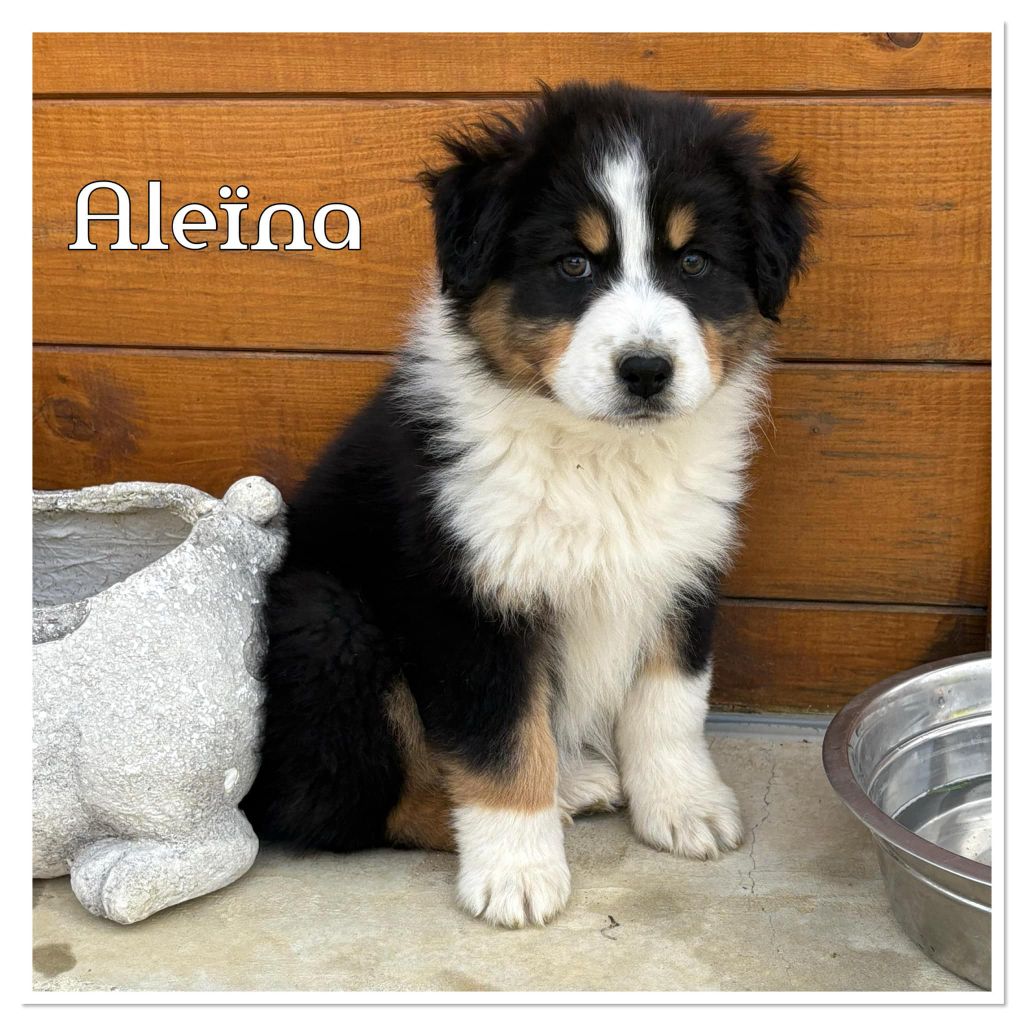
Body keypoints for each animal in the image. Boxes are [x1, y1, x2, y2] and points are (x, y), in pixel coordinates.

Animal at [242, 81, 815, 928]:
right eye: (573, 264)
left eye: (695, 262)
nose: (646, 370)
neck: (600, 455)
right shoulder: (471, 596)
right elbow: (500, 741)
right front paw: (516, 870)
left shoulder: (684, 565)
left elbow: (670, 702)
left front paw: (683, 806)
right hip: (326, 618)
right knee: (344, 809)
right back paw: (548, 800)